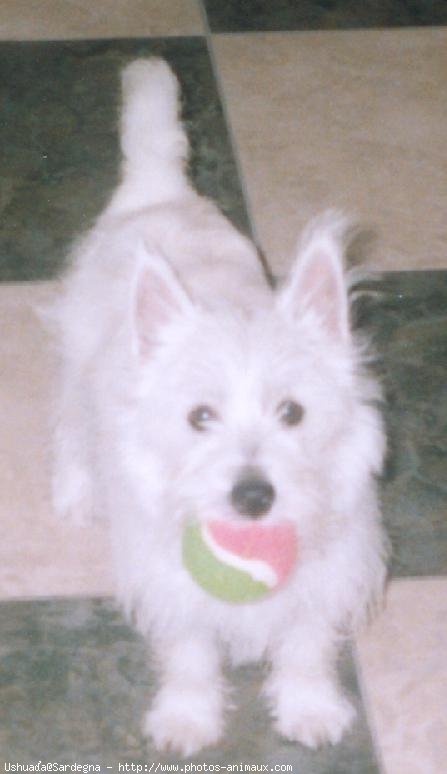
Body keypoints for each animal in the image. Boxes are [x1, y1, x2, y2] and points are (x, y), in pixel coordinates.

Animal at [51, 59, 388, 756]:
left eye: (293, 413)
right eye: (199, 417)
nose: (253, 497)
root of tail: (158, 192)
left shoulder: (326, 578)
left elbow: (307, 646)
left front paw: (311, 709)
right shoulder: (172, 584)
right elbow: (190, 655)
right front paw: (187, 720)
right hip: (75, 363)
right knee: (69, 428)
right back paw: (75, 494)